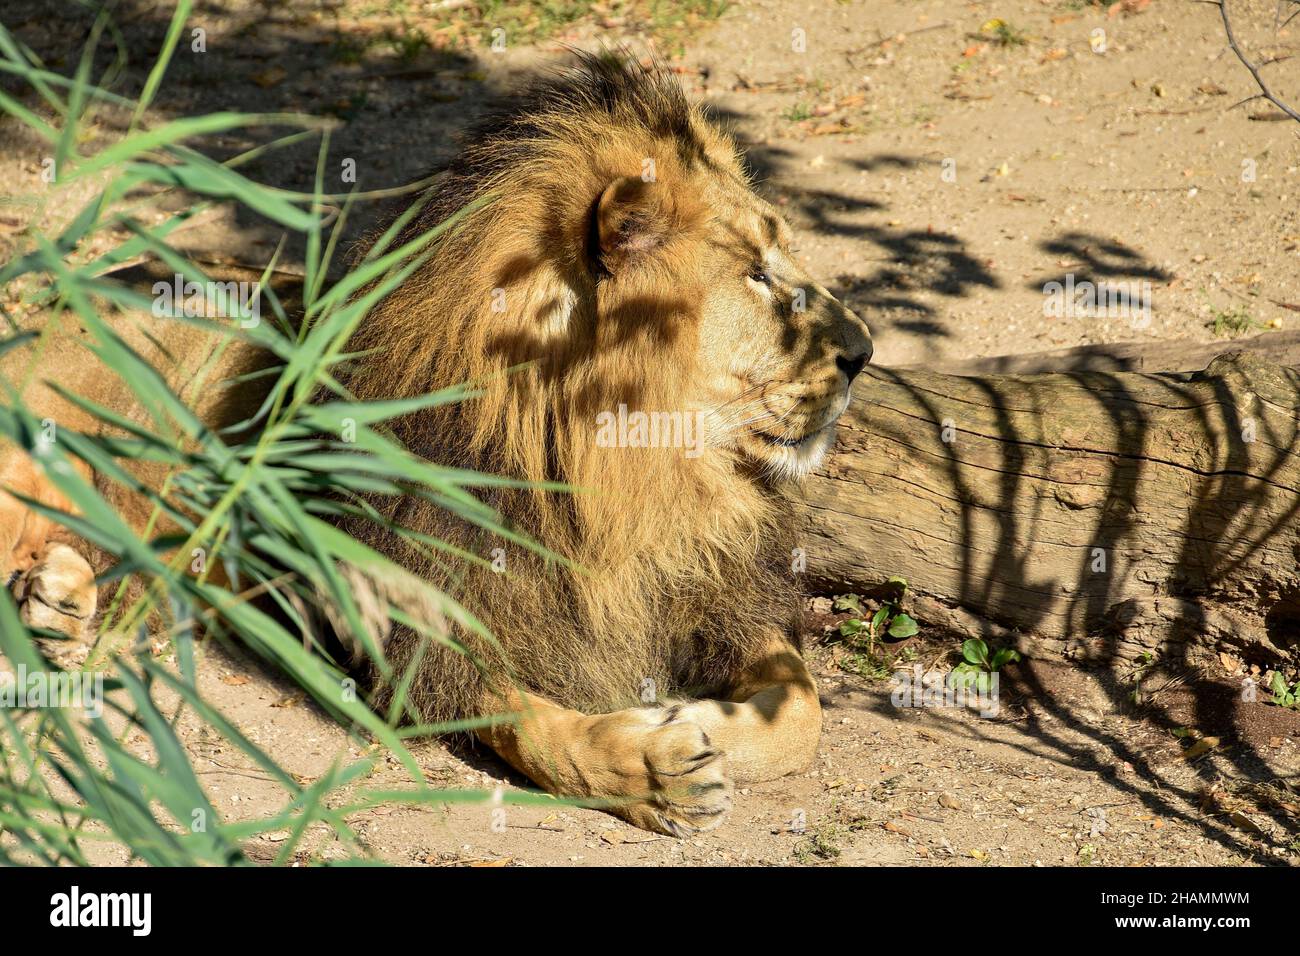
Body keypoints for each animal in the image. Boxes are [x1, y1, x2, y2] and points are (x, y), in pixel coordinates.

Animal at [5, 54, 873, 837]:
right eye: (757, 275)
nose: (865, 352)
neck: (630, 479)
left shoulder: (711, 583)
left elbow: (802, 709)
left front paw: (701, 714)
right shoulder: (425, 617)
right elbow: (532, 725)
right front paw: (651, 767)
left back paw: (58, 601)